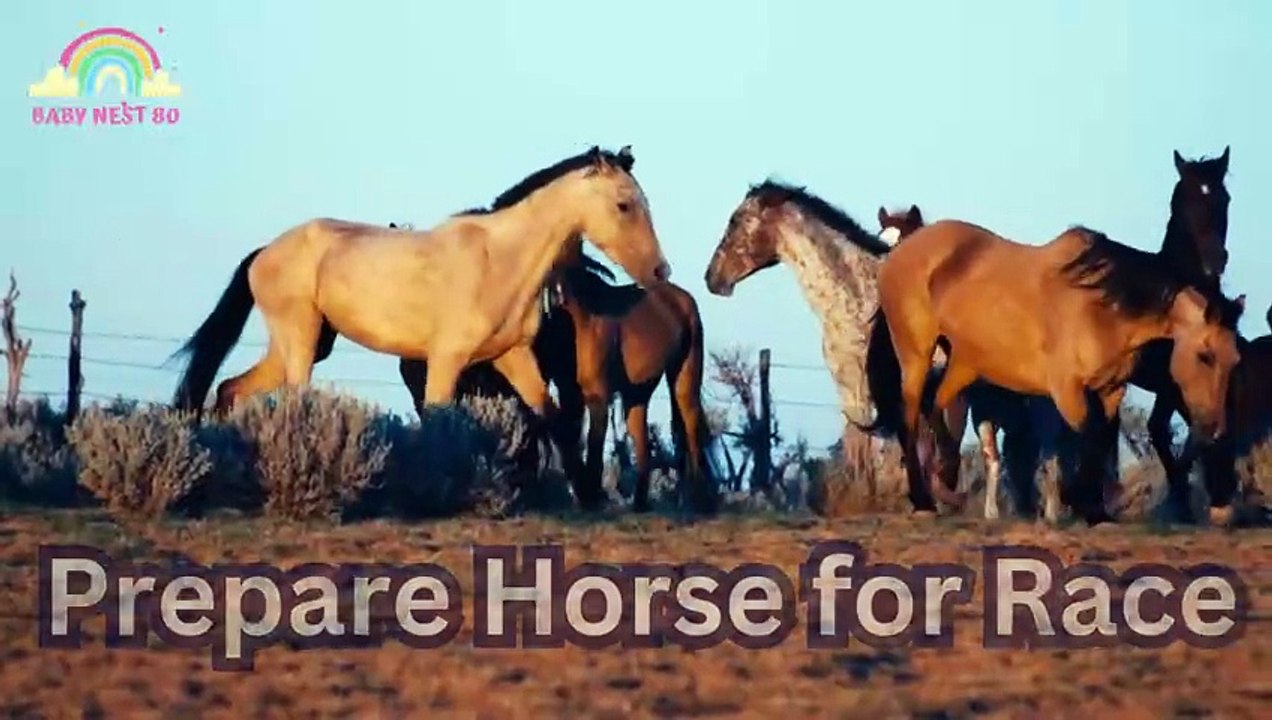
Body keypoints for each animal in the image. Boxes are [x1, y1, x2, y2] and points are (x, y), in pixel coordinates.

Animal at [171, 145, 671, 422]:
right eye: (624, 204)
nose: (660, 271)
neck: (500, 260)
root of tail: (263, 253)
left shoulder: (513, 357)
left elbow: (552, 421)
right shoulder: (446, 361)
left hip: (306, 344)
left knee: (230, 389)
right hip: (301, 341)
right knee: (290, 397)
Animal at [864, 219, 1242, 526]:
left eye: (1234, 360)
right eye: (1205, 356)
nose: (1215, 428)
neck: (1101, 304)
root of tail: (897, 255)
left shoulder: (1110, 390)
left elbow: (1098, 441)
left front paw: (1095, 509)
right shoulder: (1067, 390)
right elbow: (1084, 438)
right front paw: (1084, 504)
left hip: (963, 362)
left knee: (936, 407)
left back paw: (945, 486)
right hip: (916, 353)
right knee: (910, 417)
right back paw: (924, 501)